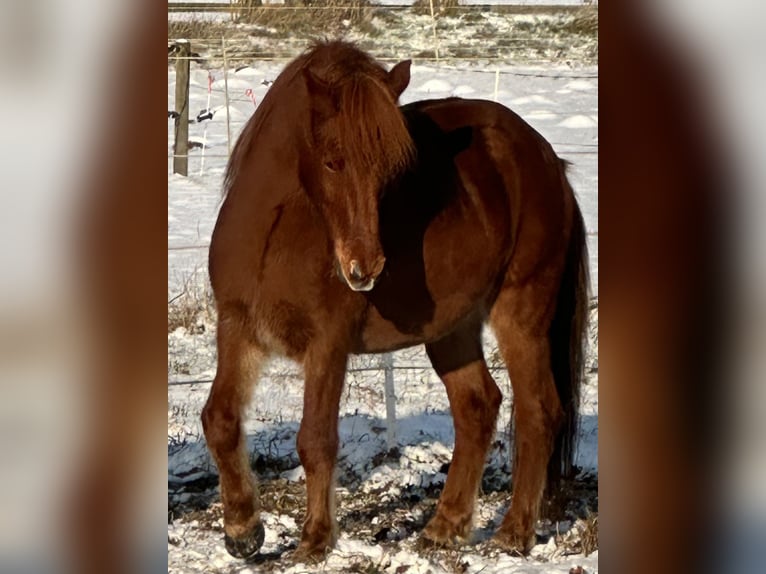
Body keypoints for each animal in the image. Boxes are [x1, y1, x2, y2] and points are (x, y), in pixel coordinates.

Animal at [202, 40, 589, 561]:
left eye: (390, 170)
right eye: (332, 160)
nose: (365, 267)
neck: (273, 239)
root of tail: (548, 161)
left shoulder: (327, 345)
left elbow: (315, 438)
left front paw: (315, 540)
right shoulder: (238, 329)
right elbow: (220, 419)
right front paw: (243, 530)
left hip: (522, 313)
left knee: (538, 410)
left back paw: (513, 533)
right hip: (452, 329)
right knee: (478, 406)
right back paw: (444, 527)